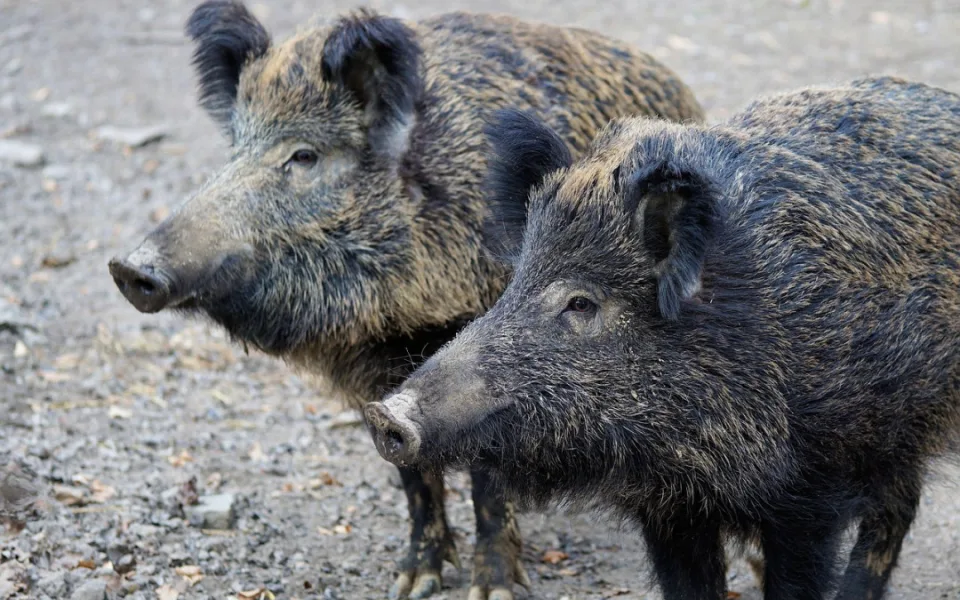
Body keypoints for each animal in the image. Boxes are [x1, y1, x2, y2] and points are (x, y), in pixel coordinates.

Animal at [106, 2, 705, 599]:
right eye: (235, 149)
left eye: (305, 155)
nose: (128, 268)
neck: (402, 318)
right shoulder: (378, 378)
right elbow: (412, 476)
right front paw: (412, 583)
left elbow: (486, 481)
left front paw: (492, 589)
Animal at [366, 76, 960, 600]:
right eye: (515, 282)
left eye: (581, 303)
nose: (384, 414)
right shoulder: (668, 507)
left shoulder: (811, 495)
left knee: (895, 512)